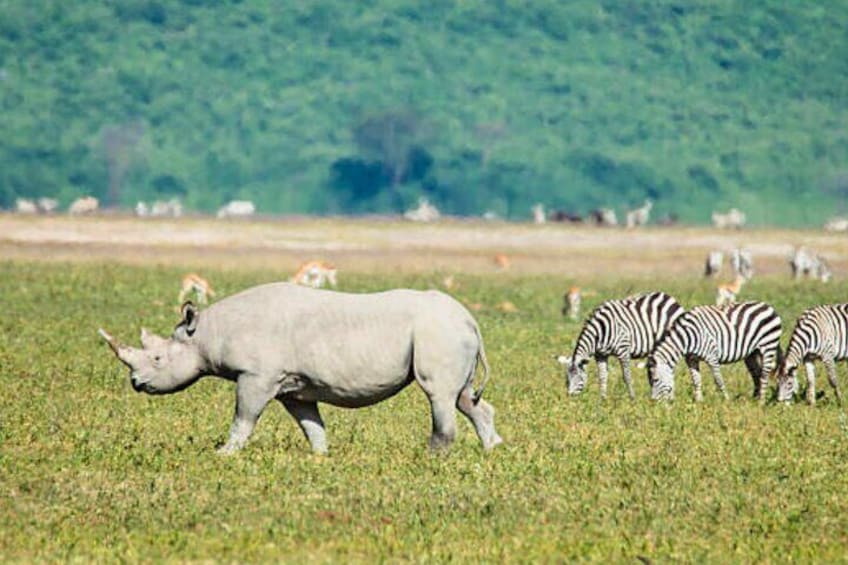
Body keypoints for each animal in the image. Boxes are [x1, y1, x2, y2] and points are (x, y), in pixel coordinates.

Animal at [99, 282, 501, 454]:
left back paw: (430, 459)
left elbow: (243, 419)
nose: (135, 382)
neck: (207, 333)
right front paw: (320, 458)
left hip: (438, 333)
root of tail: (470, 319)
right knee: (464, 398)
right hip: (449, 332)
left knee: (439, 395)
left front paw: (223, 455)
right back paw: (492, 451)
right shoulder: (293, 387)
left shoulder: (256, 376)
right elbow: (312, 426)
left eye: (157, 359)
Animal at [648, 302, 782, 402]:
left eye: (655, 380)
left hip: (768, 346)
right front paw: (699, 401)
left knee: (764, 375)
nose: (653, 401)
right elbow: (696, 380)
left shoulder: (712, 357)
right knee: (756, 374)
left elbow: (719, 380)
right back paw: (754, 399)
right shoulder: (691, 359)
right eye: (650, 382)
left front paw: (727, 400)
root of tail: (767, 306)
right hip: (753, 353)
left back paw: (761, 402)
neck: (687, 337)